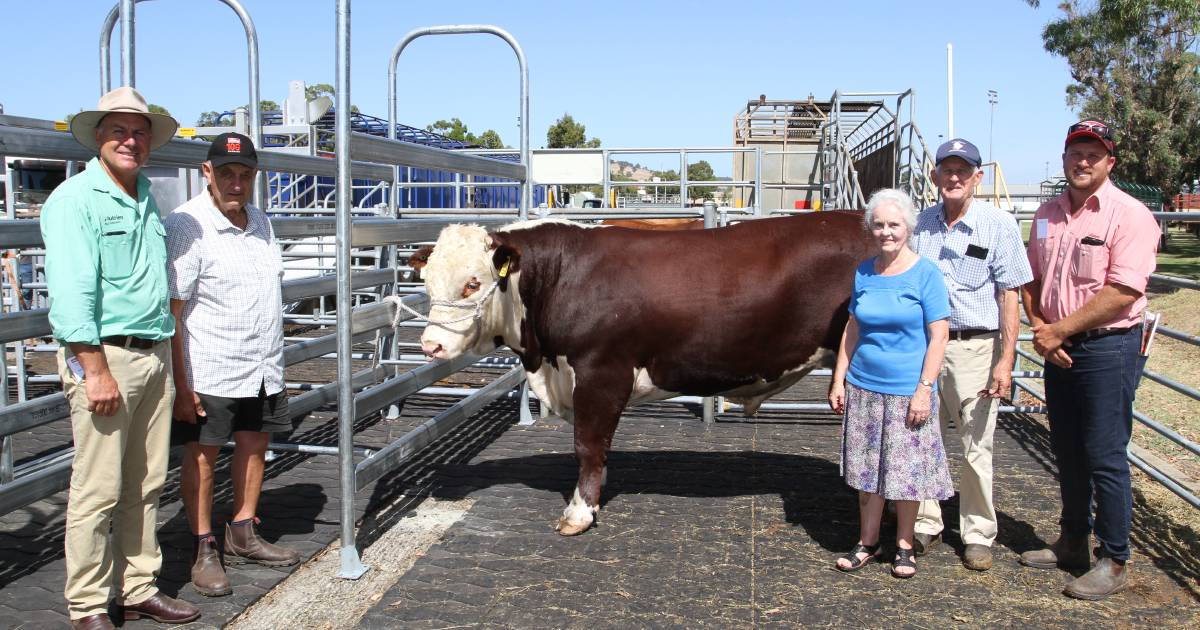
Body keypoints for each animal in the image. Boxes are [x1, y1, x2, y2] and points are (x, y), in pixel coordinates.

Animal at [420, 213, 873, 532]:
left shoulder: (601, 372)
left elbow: (587, 444)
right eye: (426, 282)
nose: (430, 345)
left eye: (473, 283)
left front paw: (579, 512)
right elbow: (598, 446)